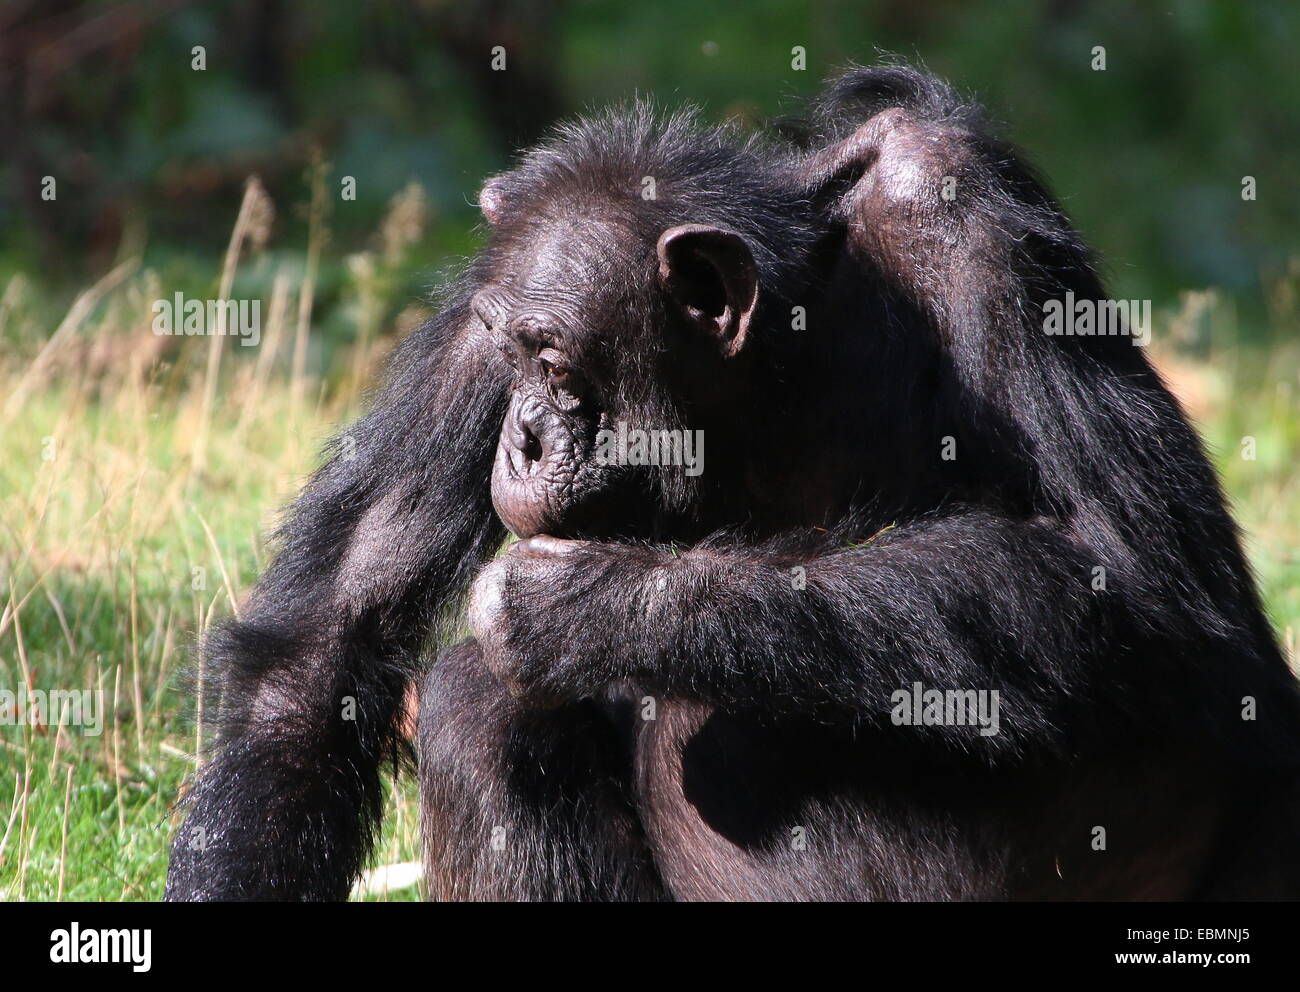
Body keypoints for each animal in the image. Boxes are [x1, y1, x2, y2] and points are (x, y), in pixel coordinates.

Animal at [167, 60, 1300, 899]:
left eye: (556, 359)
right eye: (509, 347)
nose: (523, 436)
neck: (770, 381)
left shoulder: (967, 212)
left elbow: (1136, 579)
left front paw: (591, 604)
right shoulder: (470, 324)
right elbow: (324, 644)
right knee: (482, 710)